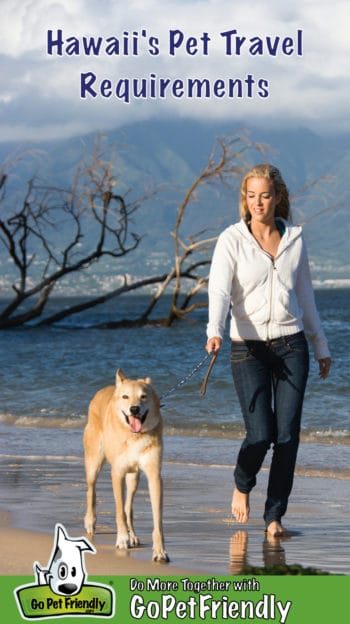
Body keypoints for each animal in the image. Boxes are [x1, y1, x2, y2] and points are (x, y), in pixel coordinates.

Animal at [83, 368, 168, 564]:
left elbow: (157, 519)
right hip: (94, 462)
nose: (134, 409)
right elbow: (119, 511)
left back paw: (133, 535)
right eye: (125, 396)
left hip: (133, 477)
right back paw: (90, 521)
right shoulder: (117, 473)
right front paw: (122, 539)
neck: (134, 436)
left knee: (129, 506)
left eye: (143, 396)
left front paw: (159, 551)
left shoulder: (154, 475)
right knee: (91, 490)